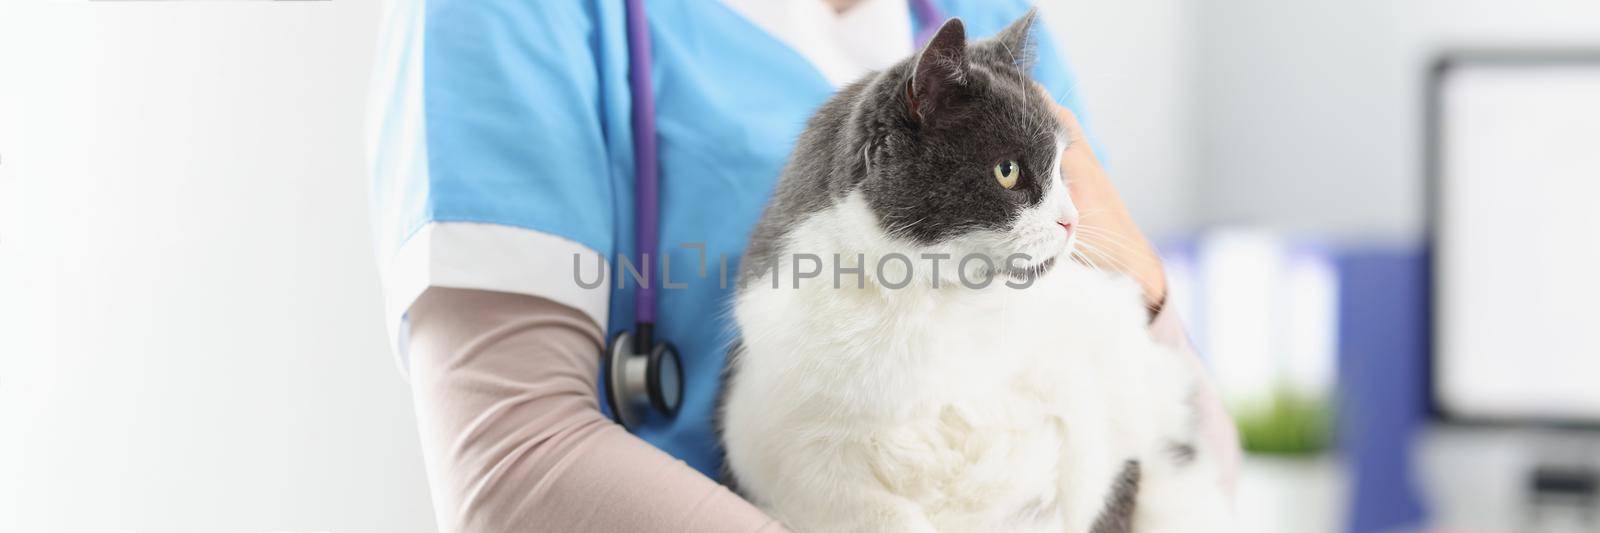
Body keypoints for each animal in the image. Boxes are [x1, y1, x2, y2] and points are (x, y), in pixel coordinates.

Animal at [720, 9, 1228, 531]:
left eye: (1062, 169)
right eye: (1008, 171)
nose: (1071, 220)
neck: (933, 305)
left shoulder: (1107, 396)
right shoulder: (793, 454)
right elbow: (874, 512)